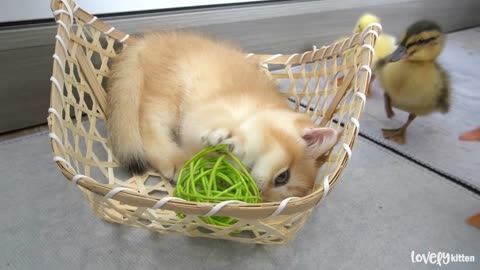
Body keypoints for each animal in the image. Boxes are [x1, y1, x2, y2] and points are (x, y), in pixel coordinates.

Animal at [106, 31, 338, 201]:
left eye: (269, 199)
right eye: (283, 177)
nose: (258, 192)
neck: (258, 110)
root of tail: (147, 41)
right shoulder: (211, 111)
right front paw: (233, 143)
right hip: (168, 96)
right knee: (148, 123)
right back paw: (174, 160)